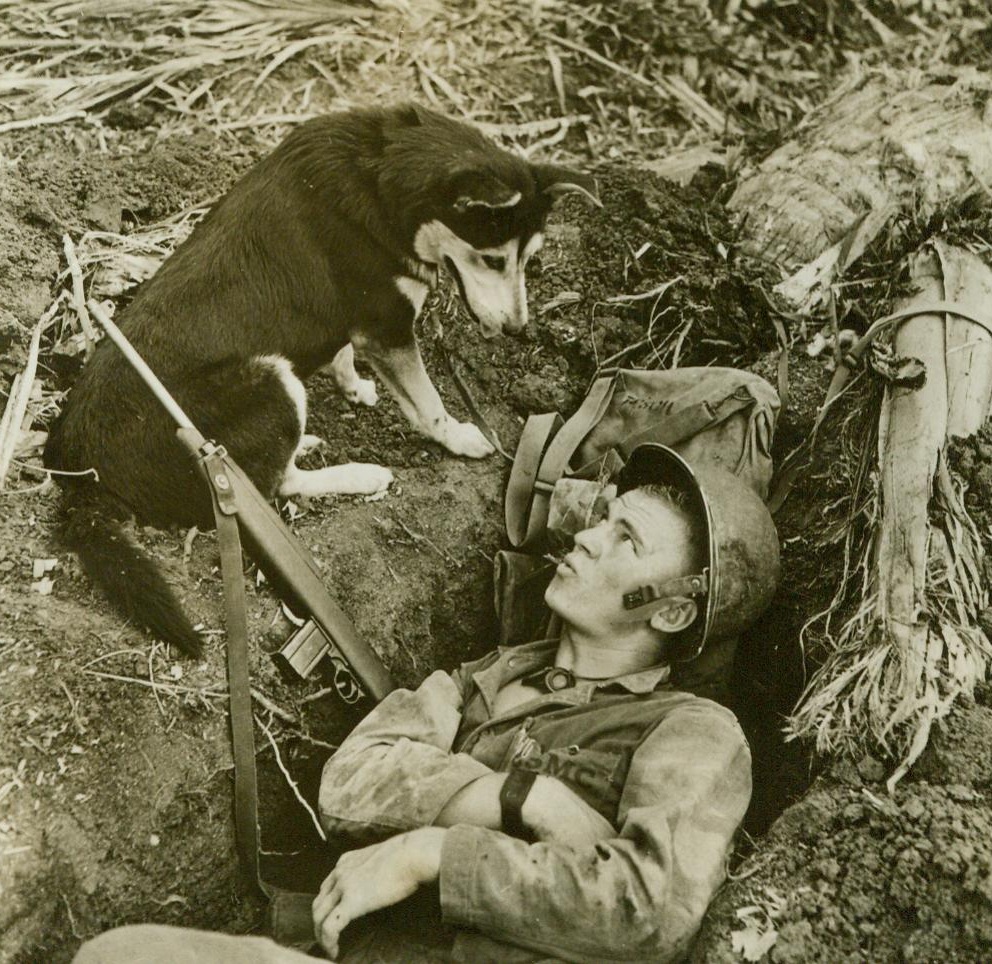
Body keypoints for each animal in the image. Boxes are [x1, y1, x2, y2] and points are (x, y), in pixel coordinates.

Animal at [44, 103, 596, 656]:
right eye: (493, 258)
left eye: (528, 257)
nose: (518, 329)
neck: (385, 180)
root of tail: (82, 473)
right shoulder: (388, 327)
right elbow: (428, 403)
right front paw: (460, 437)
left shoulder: (356, 322)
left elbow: (345, 352)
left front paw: (354, 386)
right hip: (272, 380)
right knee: (277, 485)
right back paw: (360, 474)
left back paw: (307, 442)